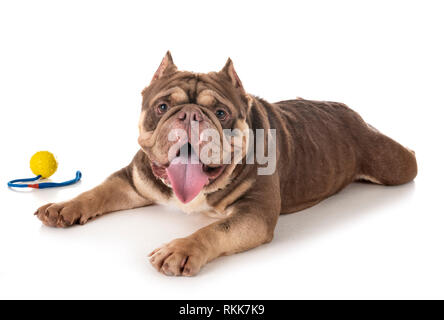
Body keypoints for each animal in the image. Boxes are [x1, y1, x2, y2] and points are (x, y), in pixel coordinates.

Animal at [33, 52, 416, 276]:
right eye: (162, 107)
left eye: (220, 113)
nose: (190, 115)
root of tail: (346, 108)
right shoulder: (133, 180)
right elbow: (98, 191)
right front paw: (64, 206)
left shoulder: (254, 213)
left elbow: (215, 229)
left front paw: (181, 249)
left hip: (394, 165)